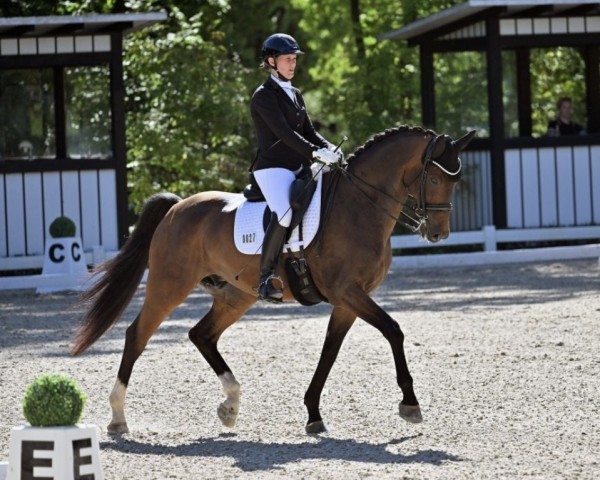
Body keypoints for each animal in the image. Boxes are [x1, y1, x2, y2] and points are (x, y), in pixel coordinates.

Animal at [70, 124, 476, 436]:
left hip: (235, 295)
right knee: (136, 336)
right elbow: (393, 330)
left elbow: (330, 351)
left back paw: (230, 406)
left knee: (202, 335)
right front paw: (410, 404)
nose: (437, 234)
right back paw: (118, 418)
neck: (359, 207)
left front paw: (313, 414)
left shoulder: (349, 298)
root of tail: (176, 207)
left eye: (456, 181)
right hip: (169, 285)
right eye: (435, 177)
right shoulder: (347, 291)